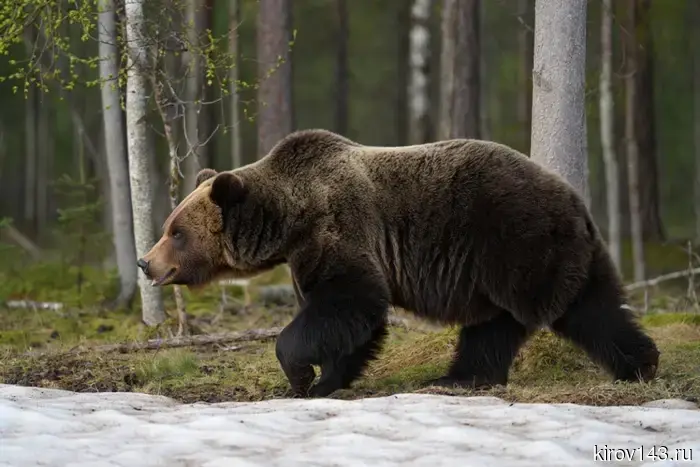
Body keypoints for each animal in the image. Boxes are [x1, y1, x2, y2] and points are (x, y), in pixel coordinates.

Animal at [137, 128, 660, 398]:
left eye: (176, 232)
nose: (145, 262)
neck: (289, 220)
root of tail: (574, 198)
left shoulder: (339, 229)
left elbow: (350, 304)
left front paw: (301, 377)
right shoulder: (312, 253)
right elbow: (353, 323)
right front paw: (329, 379)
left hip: (518, 242)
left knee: (575, 311)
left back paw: (636, 365)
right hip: (518, 263)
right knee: (528, 318)